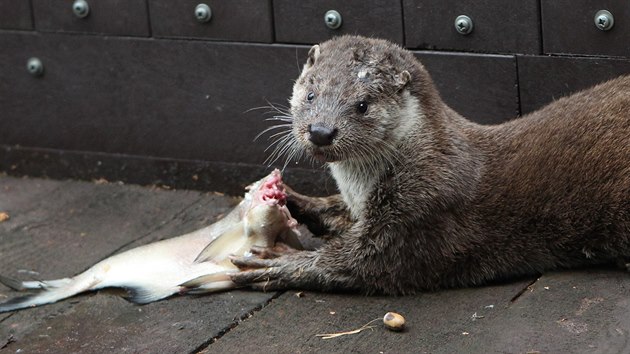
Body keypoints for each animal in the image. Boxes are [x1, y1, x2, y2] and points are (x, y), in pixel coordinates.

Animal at [232, 34, 630, 294]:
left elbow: (360, 264)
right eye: (311, 93)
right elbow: (337, 213)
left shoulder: (419, 209)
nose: (320, 131)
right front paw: (294, 198)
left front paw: (277, 263)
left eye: (362, 104)